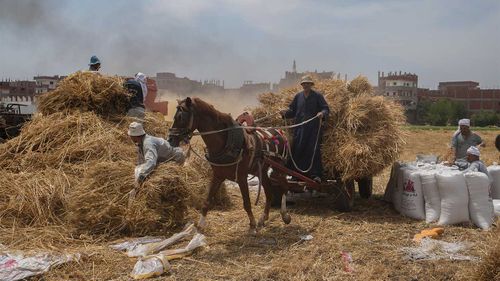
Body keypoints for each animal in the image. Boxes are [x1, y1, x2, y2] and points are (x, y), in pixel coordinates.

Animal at [168, 97, 292, 233]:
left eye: (181, 117)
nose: (170, 139)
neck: (227, 143)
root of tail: (280, 131)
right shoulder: (218, 176)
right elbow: (207, 201)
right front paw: (200, 225)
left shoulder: (242, 177)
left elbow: (247, 203)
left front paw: (252, 224)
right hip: (262, 171)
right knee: (269, 192)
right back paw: (263, 218)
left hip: (278, 168)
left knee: (285, 187)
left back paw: (285, 215)